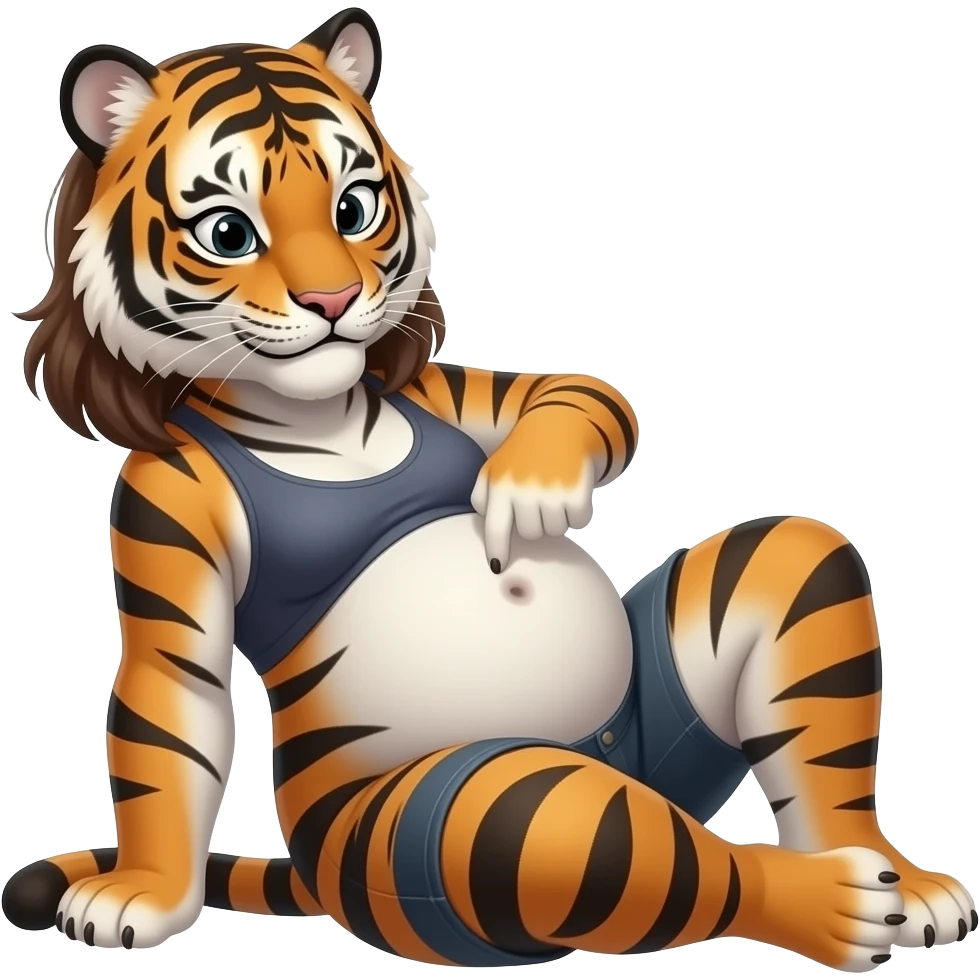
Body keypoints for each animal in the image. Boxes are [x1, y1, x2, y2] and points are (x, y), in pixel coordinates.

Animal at [3, 8, 975, 969]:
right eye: (229, 234)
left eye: (353, 209)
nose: (333, 301)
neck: (316, 415)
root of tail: (610, 755)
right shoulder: (163, 503)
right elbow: (176, 703)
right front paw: (145, 893)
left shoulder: (435, 388)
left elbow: (577, 391)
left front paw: (529, 491)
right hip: (440, 828)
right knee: (574, 829)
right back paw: (839, 903)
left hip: (688, 689)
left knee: (792, 557)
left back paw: (899, 882)